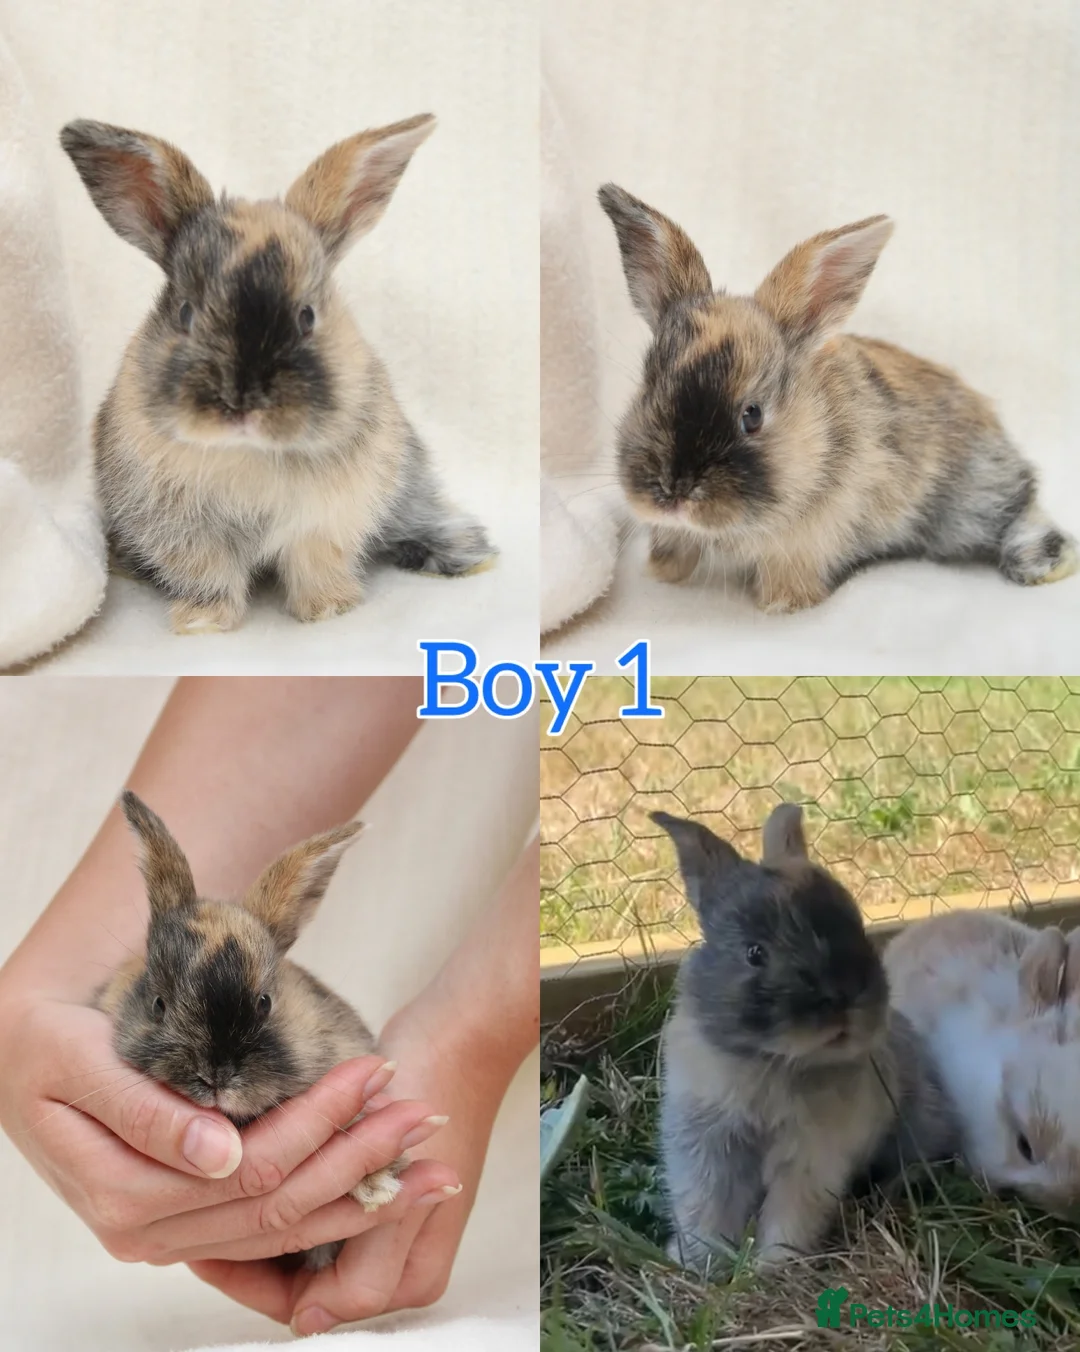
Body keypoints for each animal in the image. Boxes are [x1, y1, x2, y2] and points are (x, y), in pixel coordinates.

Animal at [59, 116, 494, 634]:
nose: (241, 403)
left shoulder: (326, 520)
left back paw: (469, 553)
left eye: (307, 317)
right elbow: (208, 574)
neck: (250, 450)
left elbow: (314, 564)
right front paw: (203, 623)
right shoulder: (184, 532)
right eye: (186, 313)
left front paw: (327, 610)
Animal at [598, 185, 1076, 613]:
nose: (673, 492)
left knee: (1022, 502)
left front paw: (782, 606)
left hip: (970, 499)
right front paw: (663, 574)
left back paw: (1043, 562)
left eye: (752, 415)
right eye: (648, 388)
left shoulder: (806, 543)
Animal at [653, 803, 956, 1272]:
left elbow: (790, 1214)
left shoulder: (811, 1159)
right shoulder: (707, 1146)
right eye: (754, 952)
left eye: (857, 925)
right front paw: (699, 1262)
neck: (772, 1061)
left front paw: (771, 1267)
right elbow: (706, 1208)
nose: (847, 1001)